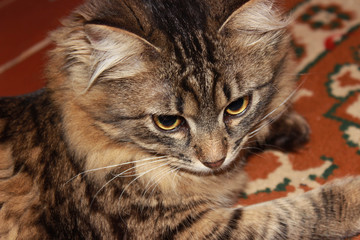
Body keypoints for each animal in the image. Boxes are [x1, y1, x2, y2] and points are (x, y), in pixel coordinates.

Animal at [0, 0, 360, 238]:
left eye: (236, 106)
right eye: (168, 122)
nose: (215, 161)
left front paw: (284, 126)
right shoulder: (181, 229)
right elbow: (289, 213)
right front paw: (351, 196)